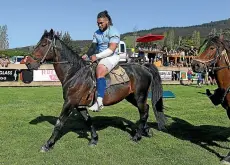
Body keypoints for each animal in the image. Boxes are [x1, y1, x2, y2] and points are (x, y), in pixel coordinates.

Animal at [25, 29, 166, 151]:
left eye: (43, 44)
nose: (28, 62)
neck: (75, 74)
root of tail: (144, 67)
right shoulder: (79, 105)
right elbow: (88, 120)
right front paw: (94, 139)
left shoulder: (69, 103)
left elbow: (59, 123)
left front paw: (48, 144)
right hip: (131, 97)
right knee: (145, 110)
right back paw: (146, 130)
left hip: (139, 96)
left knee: (144, 112)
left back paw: (137, 136)